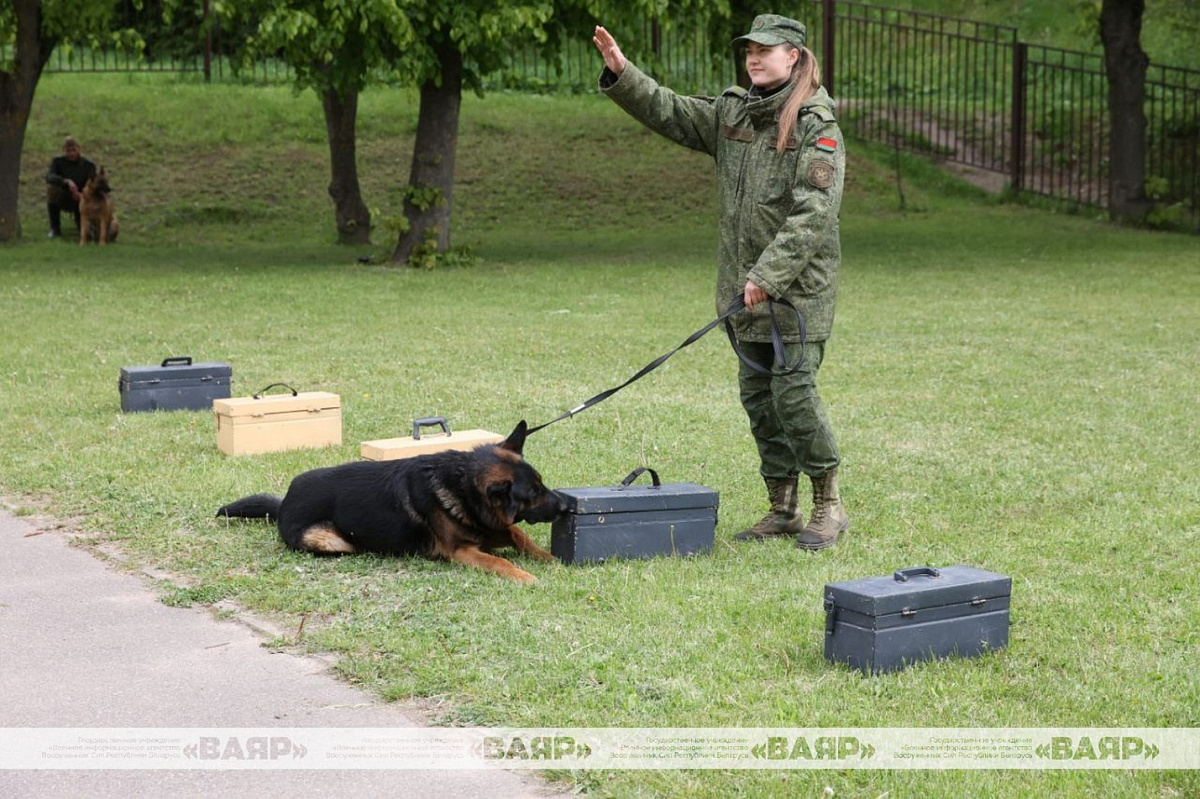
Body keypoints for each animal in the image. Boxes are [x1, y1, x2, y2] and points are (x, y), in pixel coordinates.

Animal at [216, 421, 567, 583]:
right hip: (329, 540)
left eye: (542, 484)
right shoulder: (461, 551)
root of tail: (285, 503)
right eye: (533, 494)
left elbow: (519, 534)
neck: (462, 487)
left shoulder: (490, 526)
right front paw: (524, 576)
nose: (565, 506)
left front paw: (547, 557)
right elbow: (499, 561)